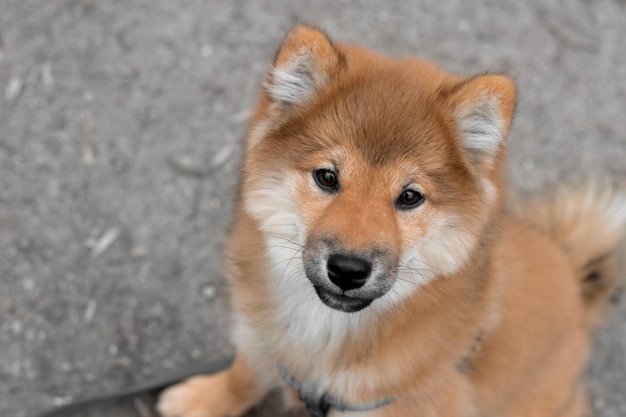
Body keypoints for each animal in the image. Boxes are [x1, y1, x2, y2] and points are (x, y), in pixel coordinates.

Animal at [157, 24, 624, 414]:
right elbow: (244, 373)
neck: (326, 335)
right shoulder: (264, 341)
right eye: (327, 177)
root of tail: (574, 277)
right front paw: (204, 400)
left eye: (410, 197)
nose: (348, 269)